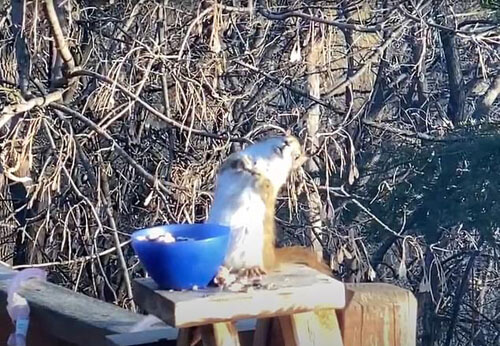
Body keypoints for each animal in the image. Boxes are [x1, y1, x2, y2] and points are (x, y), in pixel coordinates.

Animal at [207, 134, 332, 278]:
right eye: (284, 136)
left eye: (296, 156)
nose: (286, 144)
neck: (265, 161)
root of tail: (271, 258)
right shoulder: (233, 163)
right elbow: (232, 164)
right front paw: (243, 164)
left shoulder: (274, 182)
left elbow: (267, 188)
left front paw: (260, 178)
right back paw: (219, 272)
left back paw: (252, 270)